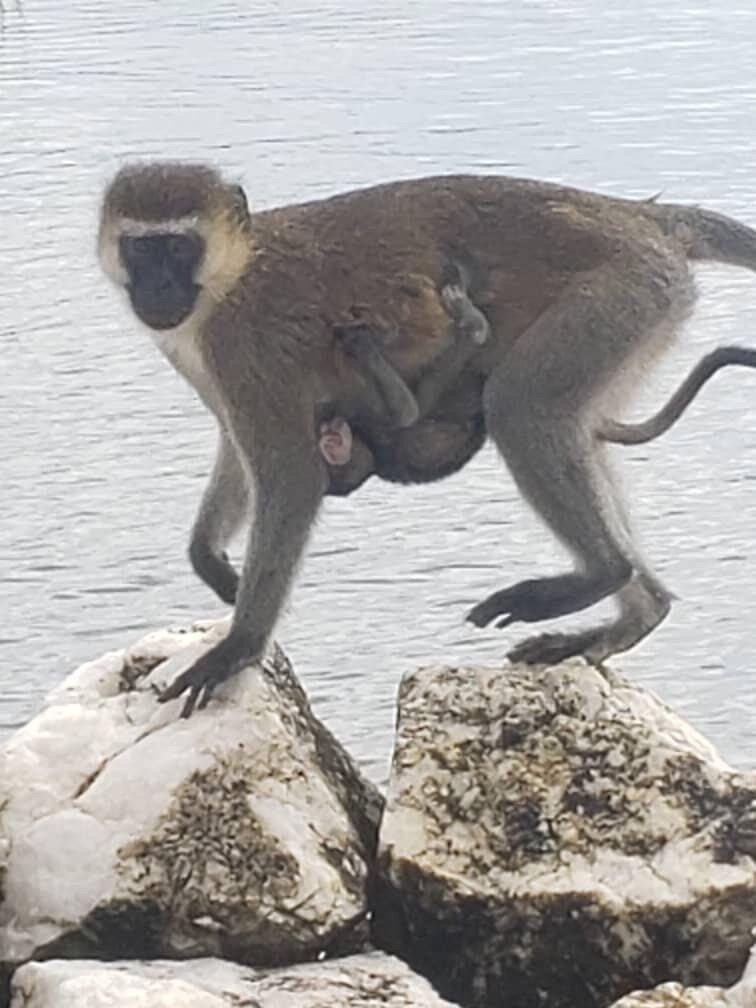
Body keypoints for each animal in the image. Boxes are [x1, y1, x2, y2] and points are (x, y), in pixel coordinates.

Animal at [98, 160, 756, 716]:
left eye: (178, 247)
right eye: (142, 248)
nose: (156, 289)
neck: (231, 276)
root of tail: (635, 215)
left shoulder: (243, 345)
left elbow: (290, 474)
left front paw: (242, 643)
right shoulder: (202, 355)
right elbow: (236, 451)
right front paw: (209, 559)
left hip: (623, 292)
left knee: (520, 406)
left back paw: (605, 573)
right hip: (642, 308)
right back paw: (640, 611)